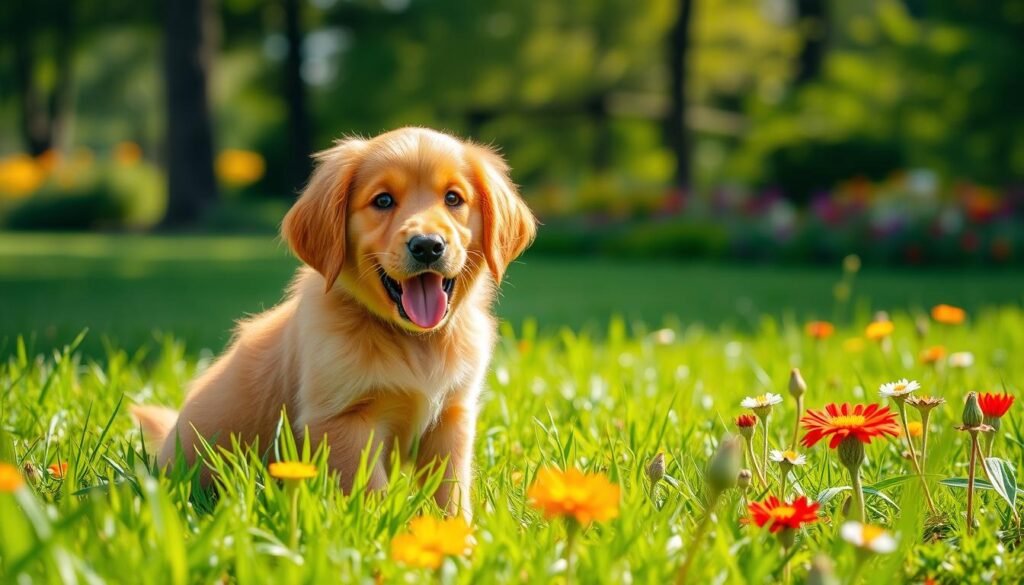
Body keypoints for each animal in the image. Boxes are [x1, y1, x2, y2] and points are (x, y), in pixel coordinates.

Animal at [133, 127, 536, 516]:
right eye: (383, 201)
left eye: (453, 199)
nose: (427, 246)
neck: (413, 340)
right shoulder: (342, 420)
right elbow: (370, 494)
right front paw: (379, 532)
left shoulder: (452, 416)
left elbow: (449, 493)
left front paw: (456, 533)